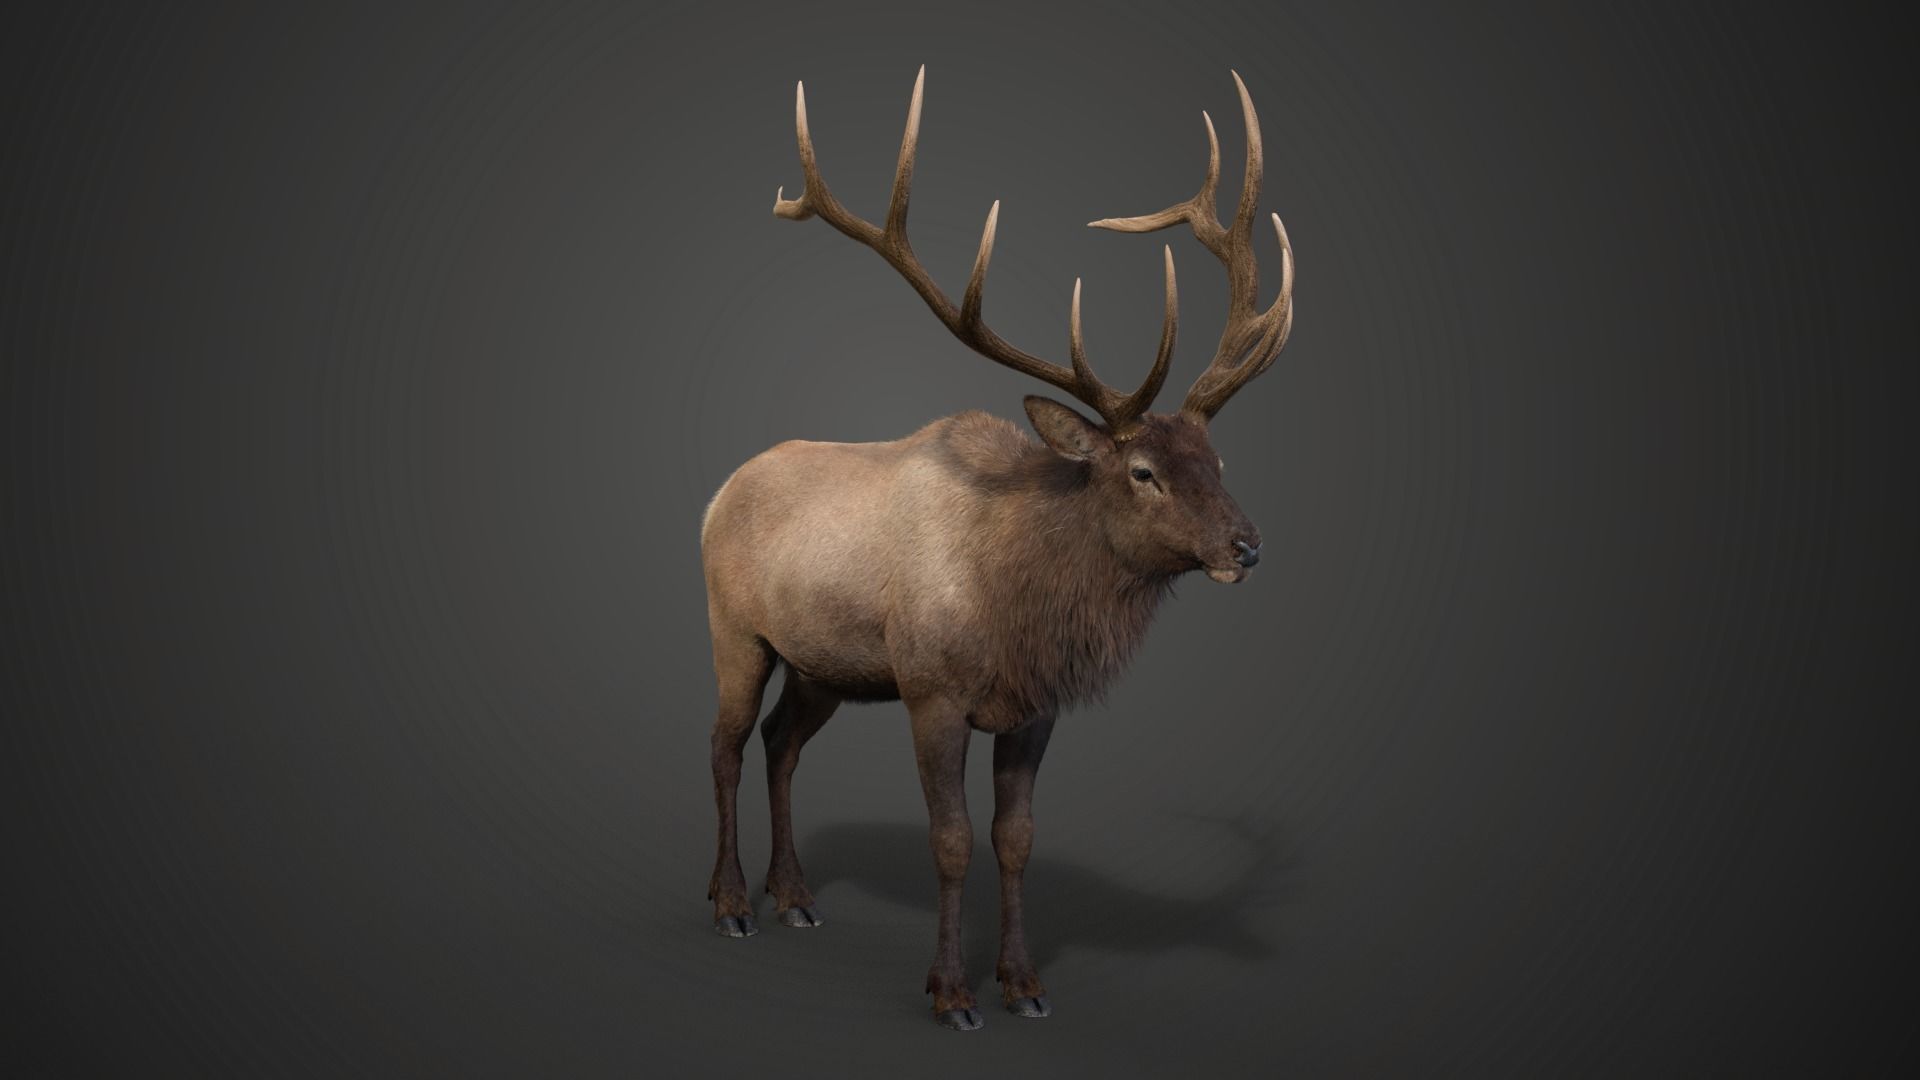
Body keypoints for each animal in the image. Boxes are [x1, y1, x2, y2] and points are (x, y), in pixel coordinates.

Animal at [699, 66, 1294, 1031]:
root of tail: (717, 495)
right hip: (736, 631)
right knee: (727, 743)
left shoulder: (1035, 708)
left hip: (824, 663)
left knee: (784, 742)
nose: (1247, 547)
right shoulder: (931, 691)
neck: (1017, 605)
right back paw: (731, 904)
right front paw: (950, 993)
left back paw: (796, 896)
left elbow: (1014, 839)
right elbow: (950, 842)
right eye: (1142, 471)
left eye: (1217, 460)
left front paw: (1024, 985)